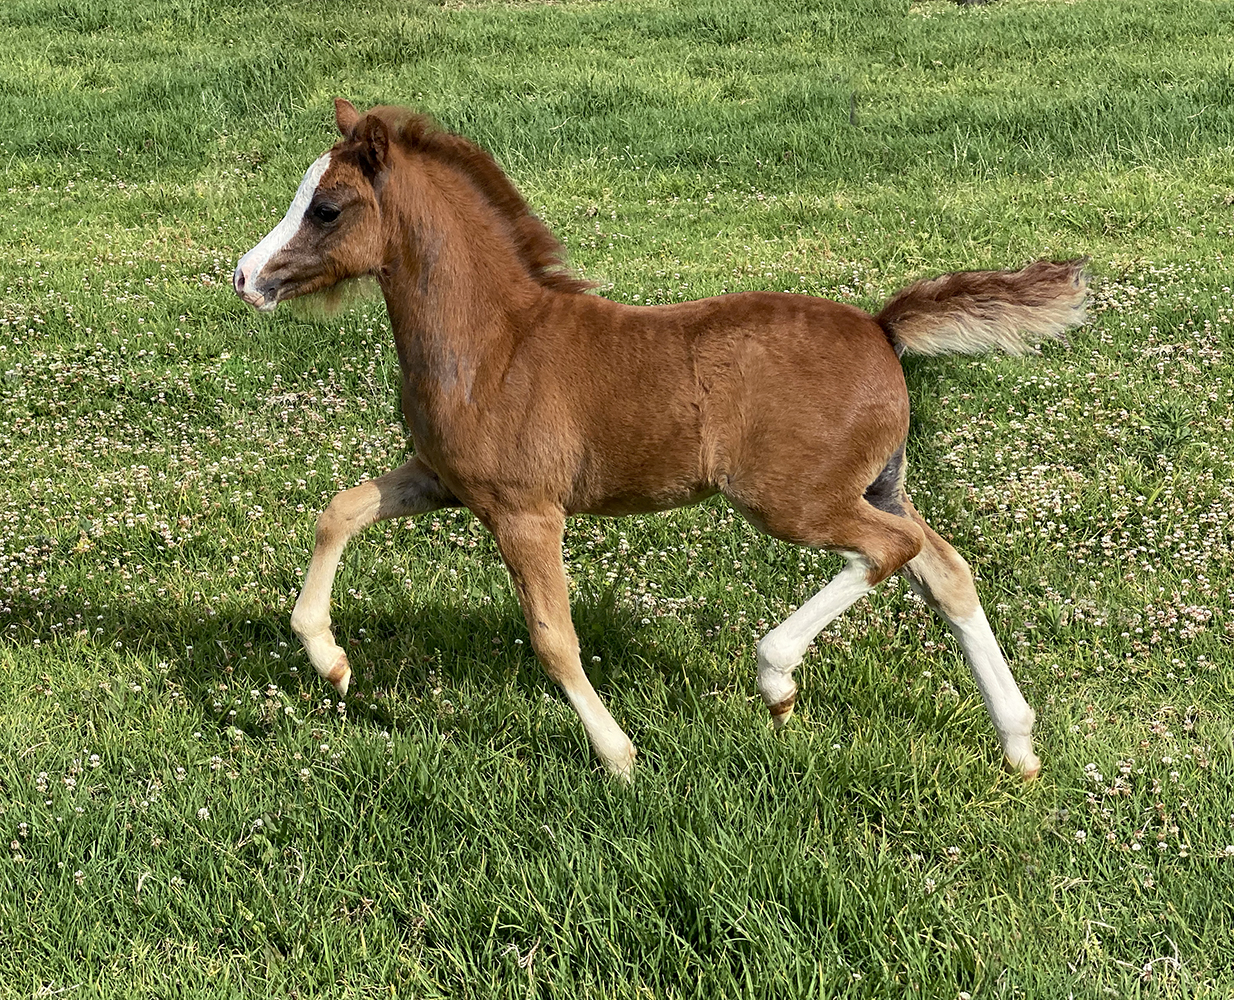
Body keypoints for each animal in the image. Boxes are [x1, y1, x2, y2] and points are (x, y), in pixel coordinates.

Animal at [233, 99, 1087, 781]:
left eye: (327, 208)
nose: (245, 278)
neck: (494, 342)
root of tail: (881, 328)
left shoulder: (525, 512)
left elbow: (553, 639)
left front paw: (618, 756)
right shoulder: (442, 479)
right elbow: (339, 510)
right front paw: (332, 662)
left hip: (792, 499)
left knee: (891, 551)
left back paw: (777, 677)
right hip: (879, 484)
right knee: (945, 570)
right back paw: (1018, 745)